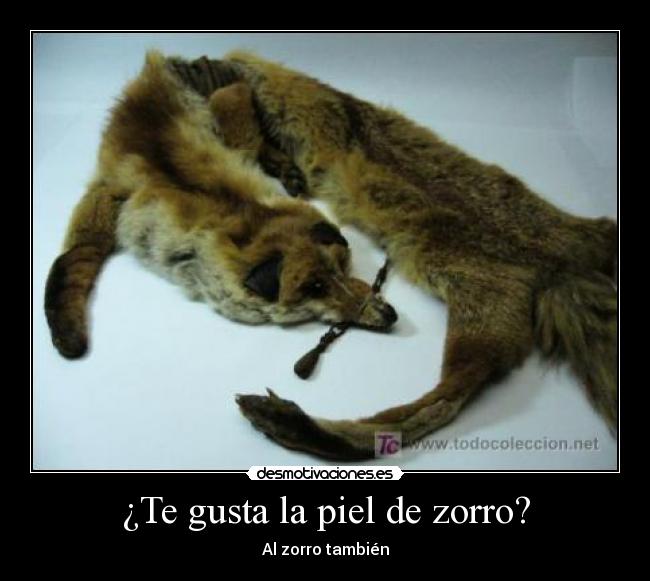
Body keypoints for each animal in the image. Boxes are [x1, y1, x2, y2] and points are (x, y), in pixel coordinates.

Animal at [44, 51, 397, 361]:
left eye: (341, 267)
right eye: (315, 287)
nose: (390, 314)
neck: (240, 216)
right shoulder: (109, 193)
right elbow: (72, 260)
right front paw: (68, 335)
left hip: (229, 106)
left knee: (260, 140)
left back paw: (291, 174)